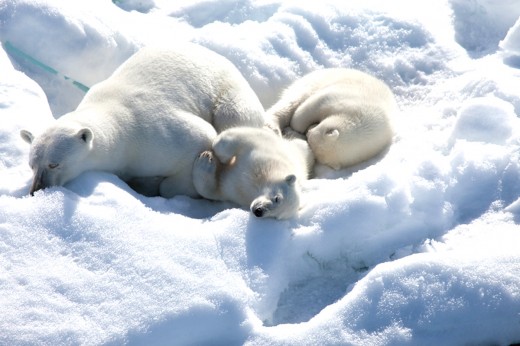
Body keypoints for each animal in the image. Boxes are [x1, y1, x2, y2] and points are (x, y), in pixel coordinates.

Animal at [19, 42, 268, 197]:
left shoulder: (153, 135)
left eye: (54, 163)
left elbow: (202, 137)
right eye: (32, 165)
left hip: (230, 94)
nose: (36, 190)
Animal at [266, 68, 396, 170]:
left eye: (310, 139)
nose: (307, 132)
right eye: (311, 135)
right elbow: (313, 106)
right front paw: (295, 127)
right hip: (313, 82)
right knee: (292, 101)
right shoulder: (346, 99)